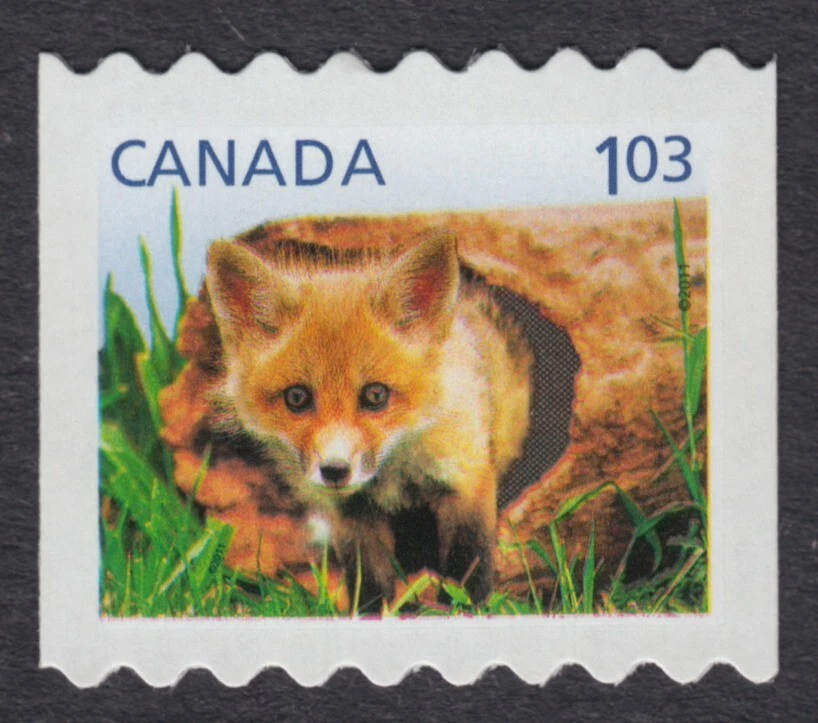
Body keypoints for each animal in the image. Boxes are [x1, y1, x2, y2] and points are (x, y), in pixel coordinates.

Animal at [206, 229, 533, 611]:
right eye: (297, 398)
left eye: (375, 395)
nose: (334, 470)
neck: (394, 472)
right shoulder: (351, 514)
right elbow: (369, 585)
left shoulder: (467, 478)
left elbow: (468, 568)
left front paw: (465, 609)